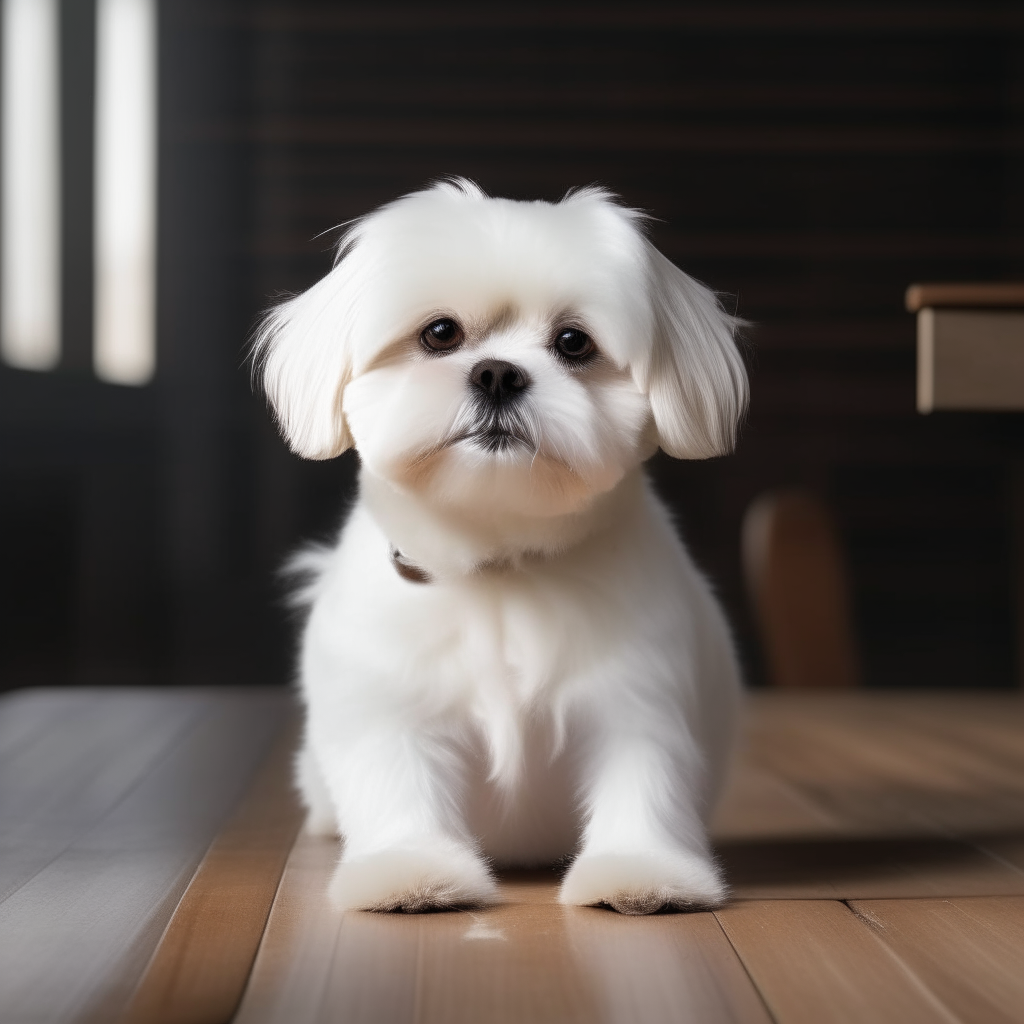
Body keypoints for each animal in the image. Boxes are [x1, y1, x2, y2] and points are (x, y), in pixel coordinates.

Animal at [253, 180, 753, 917]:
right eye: (440, 334)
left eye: (573, 342)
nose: (497, 374)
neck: (499, 562)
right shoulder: (393, 710)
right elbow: (397, 782)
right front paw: (410, 873)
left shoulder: (637, 701)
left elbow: (643, 781)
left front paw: (639, 873)